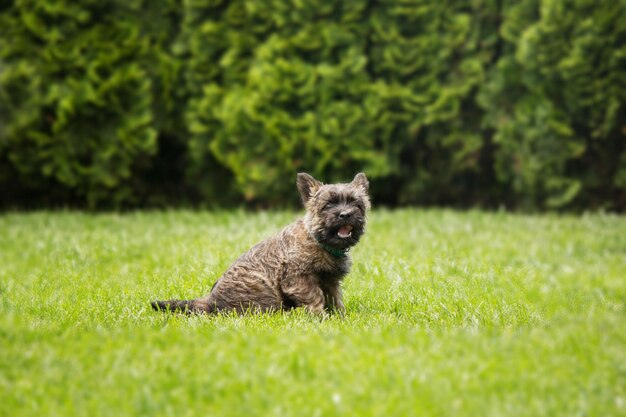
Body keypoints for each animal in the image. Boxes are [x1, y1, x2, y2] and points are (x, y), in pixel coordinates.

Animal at [151, 171, 368, 314]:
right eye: (328, 205)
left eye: (356, 204)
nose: (345, 214)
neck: (319, 239)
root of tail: (210, 302)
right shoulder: (298, 279)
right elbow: (315, 297)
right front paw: (319, 317)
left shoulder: (330, 280)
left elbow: (335, 298)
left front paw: (339, 317)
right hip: (262, 289)